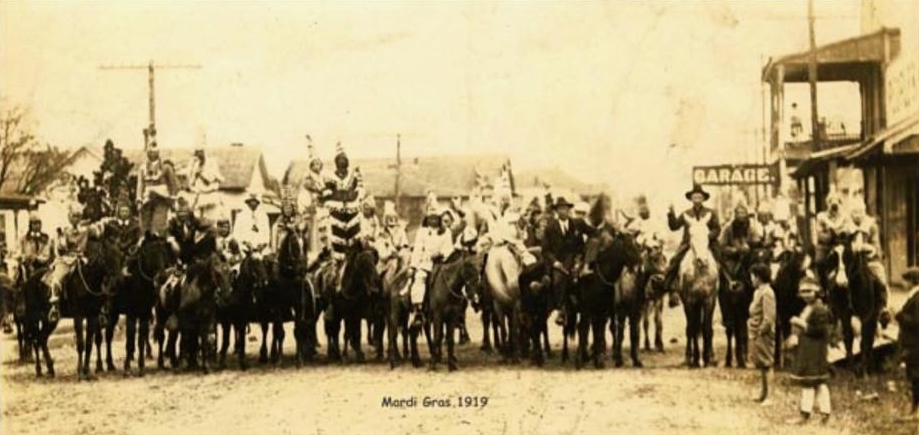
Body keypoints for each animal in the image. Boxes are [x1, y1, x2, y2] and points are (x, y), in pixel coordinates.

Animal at [680, 218, 724, 368]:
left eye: (707, 235)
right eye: (691, 235)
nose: (702, 261)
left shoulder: (709, 300)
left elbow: (706, 328)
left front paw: (706, 357)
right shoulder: (690, 301)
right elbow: (692, 328)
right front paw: (694, 358)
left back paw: (712, 356)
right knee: (690, 327)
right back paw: (689, 356)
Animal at [828, 238, 884, 378]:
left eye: (850, 255)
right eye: (834, 256)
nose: (840, 282)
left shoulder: (866, 316)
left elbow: (864, 342)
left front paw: (864, 374)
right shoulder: (845, 315)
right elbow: (848, 340)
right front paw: (850, 371)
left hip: (874, 316)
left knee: (870, 340)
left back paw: (870, 367)